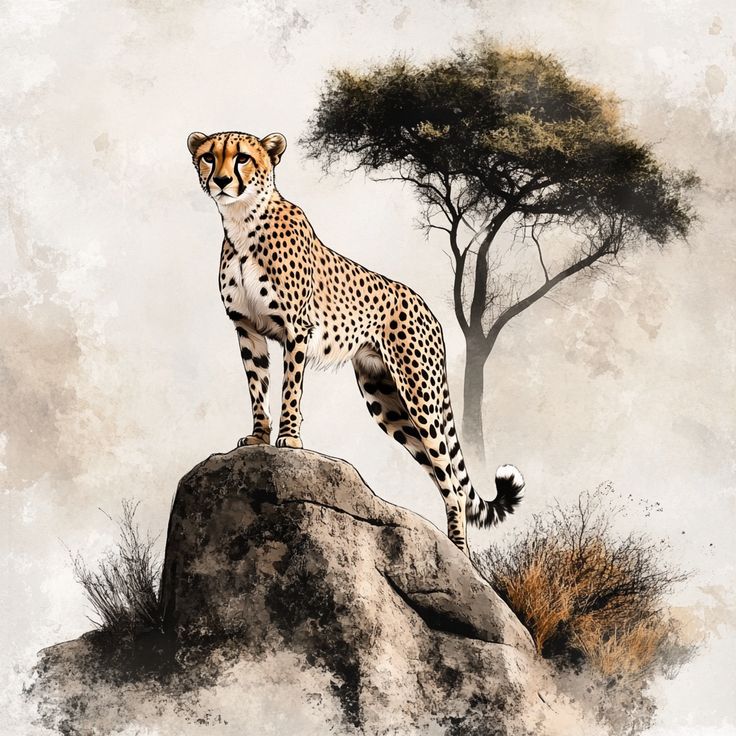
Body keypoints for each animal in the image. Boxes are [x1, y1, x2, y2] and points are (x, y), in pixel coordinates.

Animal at [187, 129, 524, 555]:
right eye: (209, 157)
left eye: (243, 158)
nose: (221, 181)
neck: (242, 221)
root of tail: (427, 308)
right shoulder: (247, 328)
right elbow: (257, 387)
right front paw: (258, 436)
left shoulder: (297, 329)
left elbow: (290, 388)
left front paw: (289, 438)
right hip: (385, 401)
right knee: (437, 469)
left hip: (420, 394)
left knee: (449, 476)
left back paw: (460, 552)